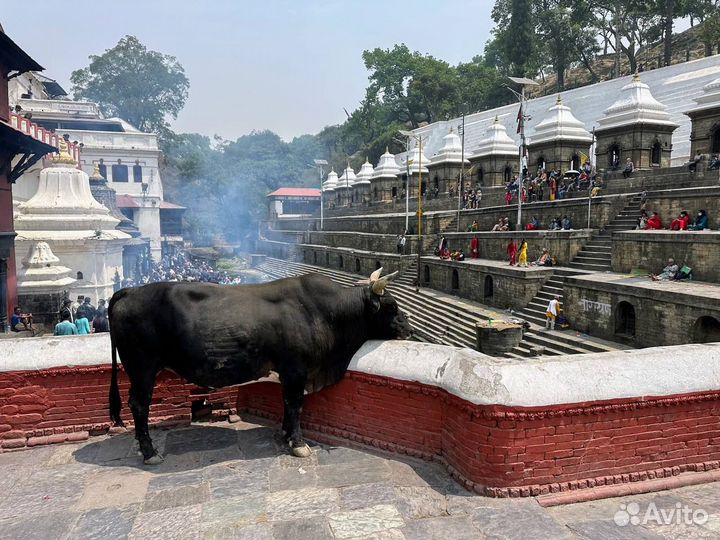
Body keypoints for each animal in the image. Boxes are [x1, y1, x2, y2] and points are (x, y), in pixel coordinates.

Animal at [107, 268, 410, 462]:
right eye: (391, 306)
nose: (408, 328)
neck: (327, 313)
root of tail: (130, 291)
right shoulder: (296, 370)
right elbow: (295, 405)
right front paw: (298, 443)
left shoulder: (290, 375)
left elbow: (287, 404)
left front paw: (286, 435)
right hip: (142, 368)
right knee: (139, 405)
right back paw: (149, 452)